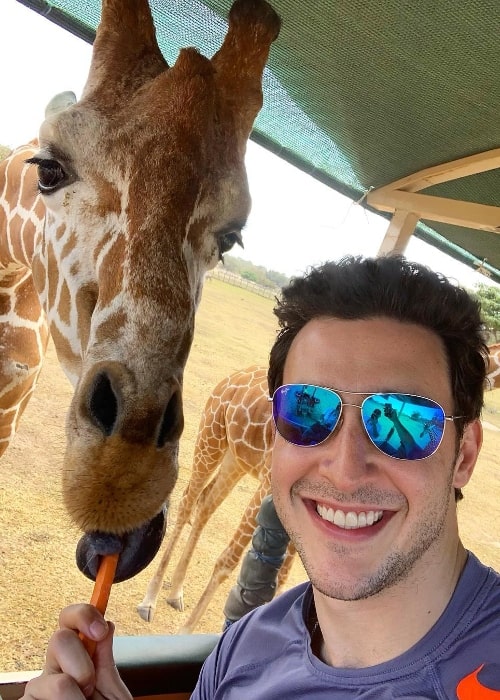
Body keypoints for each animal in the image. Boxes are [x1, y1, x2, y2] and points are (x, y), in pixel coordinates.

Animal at [137, 364, 296, 632]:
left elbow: (282, 580)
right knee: (188, 502)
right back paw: (150, 600)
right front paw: (185, 632)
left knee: (205, 505)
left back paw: (176, 592)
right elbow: (228, 560)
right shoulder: (268, 483)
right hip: (210, 439)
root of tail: (231, 378)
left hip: (235, 459)